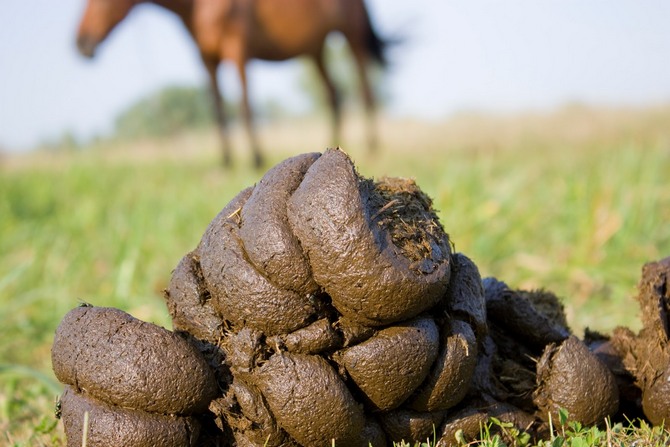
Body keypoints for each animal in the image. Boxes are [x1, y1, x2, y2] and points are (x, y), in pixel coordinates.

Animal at [76, 0, 388, 167]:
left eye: (100, 1)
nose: (80, 43)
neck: (198, 6)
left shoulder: (237, 48)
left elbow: (244, 105)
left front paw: (256, 158)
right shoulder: (207, 59)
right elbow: (218, 109)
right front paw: (226, 161)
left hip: (351, 35)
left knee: (366, 91)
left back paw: (372, 147)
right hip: (315, 49)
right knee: (334, 95)